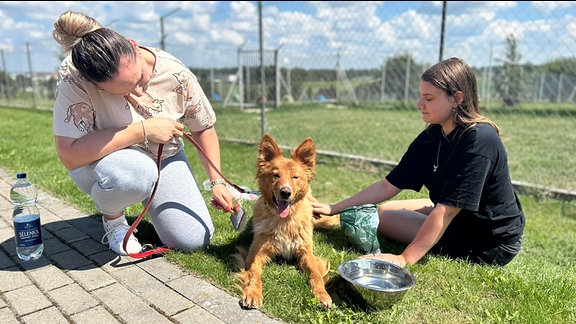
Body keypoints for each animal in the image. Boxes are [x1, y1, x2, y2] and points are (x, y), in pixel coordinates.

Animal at [236, 134, 340, 308]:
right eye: (275, 175)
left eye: (295, 177)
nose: (285, 192)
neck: (284, 221)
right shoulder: (256, 252)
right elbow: (254, 274)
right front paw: (253, 293)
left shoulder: (306, 252)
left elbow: (316, 274)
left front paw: (321, 294)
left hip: (325, 220)